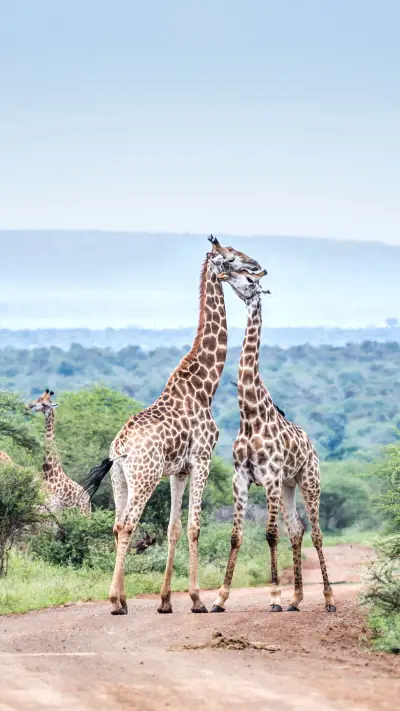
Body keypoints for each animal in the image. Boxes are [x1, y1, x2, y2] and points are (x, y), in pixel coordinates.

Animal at [84, 237, 261, 615]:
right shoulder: (202, 459)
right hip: (145, 476)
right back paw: (115, 602)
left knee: (116, 524)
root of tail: (119, 448)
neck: (204, 386)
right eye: (231, 257)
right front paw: (196, 599)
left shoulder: (178, 470)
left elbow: (174, 528)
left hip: (121, 479)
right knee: (127, 524)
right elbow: (194, 527)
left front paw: (166, 601)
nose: (257, 265)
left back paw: (122, 597)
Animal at [211, 268, 336, 614]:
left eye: (250, 281)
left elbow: (269, 534)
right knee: (296, 529)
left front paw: (275, 597)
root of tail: (311, 445)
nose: (224, 274)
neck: (251, 416)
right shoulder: (241, 477)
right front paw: (220, 598)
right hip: (289, 485)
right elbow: (236, 536)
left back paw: (328, 599)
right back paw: (296, 599)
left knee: (317, 534)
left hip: (309, 480)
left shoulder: (269, 478)